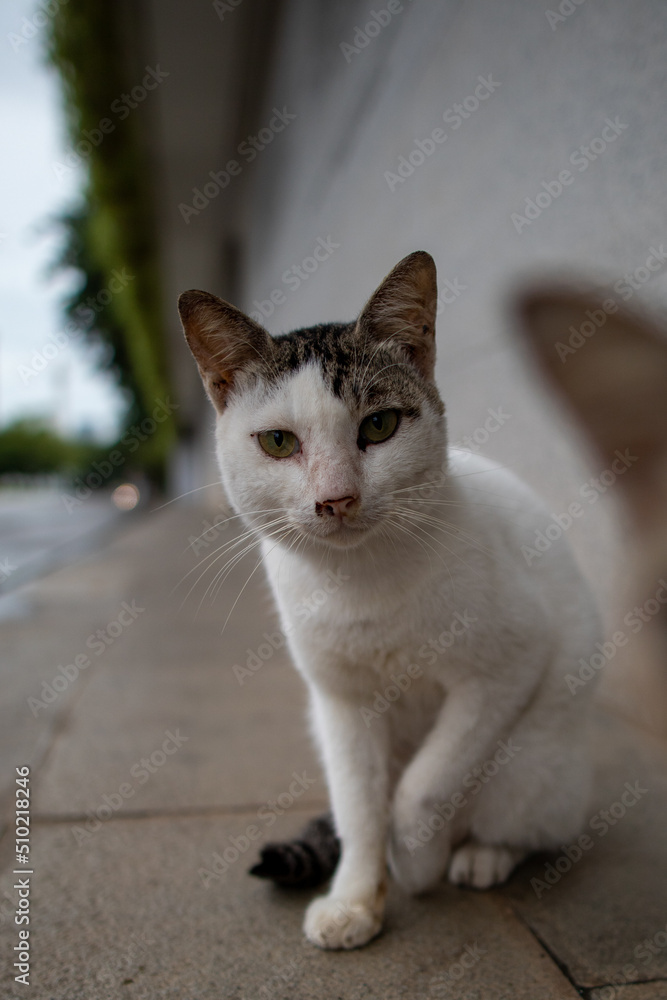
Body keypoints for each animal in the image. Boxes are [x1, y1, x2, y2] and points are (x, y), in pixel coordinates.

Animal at [180, 252, 604, 952]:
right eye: (278, 442)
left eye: (378, 426)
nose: (336, 499)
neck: (361, 584)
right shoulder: (341, 704)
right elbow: (359, 809)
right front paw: (356, 897)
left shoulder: (508, 664)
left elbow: (421, 789)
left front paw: (416, 864)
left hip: (534, 767)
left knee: (524, 823)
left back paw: (481, 855)